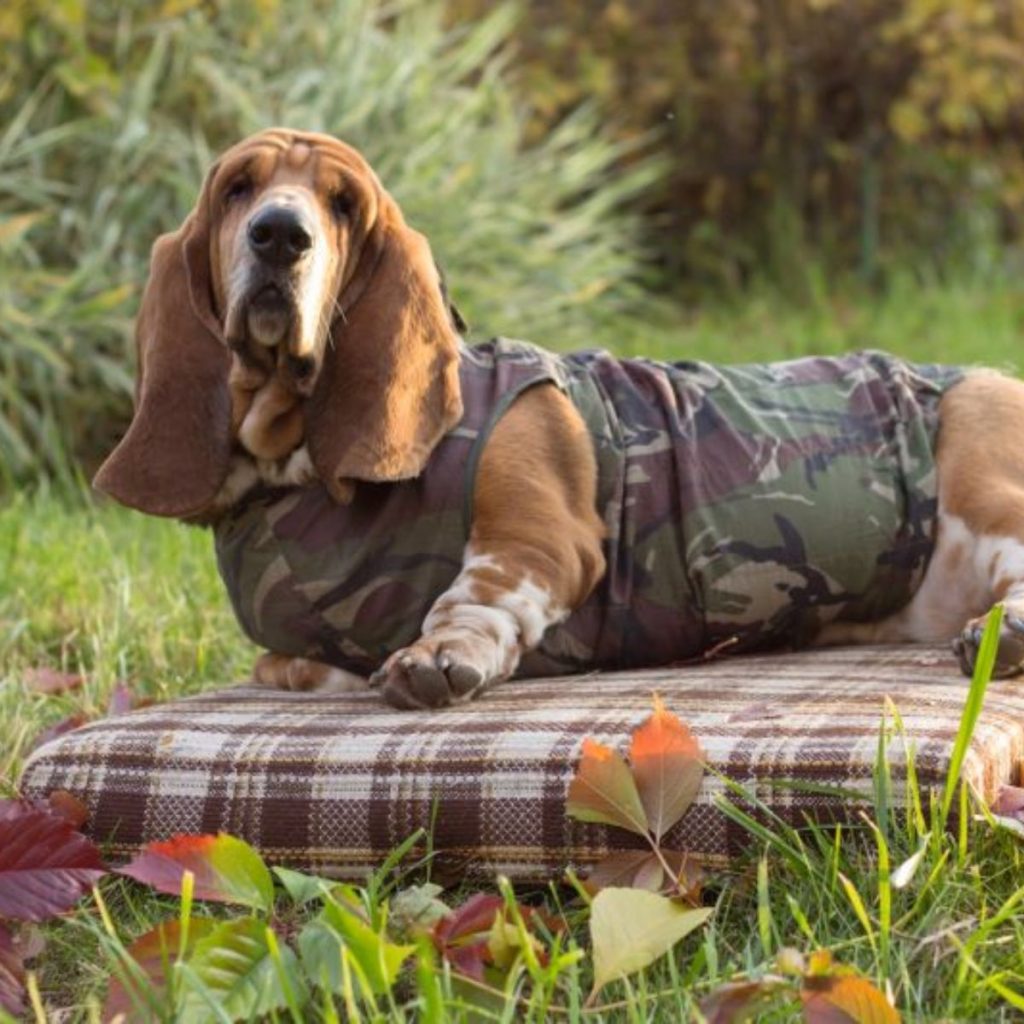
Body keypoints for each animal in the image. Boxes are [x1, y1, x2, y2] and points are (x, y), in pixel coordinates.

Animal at [92, 128, 1024, 708]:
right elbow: (284, 664)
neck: (292, 463)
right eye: (237, 188)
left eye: (344, 204)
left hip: (984, 484)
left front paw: (438, 657)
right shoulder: (283, 652)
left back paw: (1002, 635)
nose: (281, 234)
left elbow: (476, 592)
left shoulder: (538, 538)